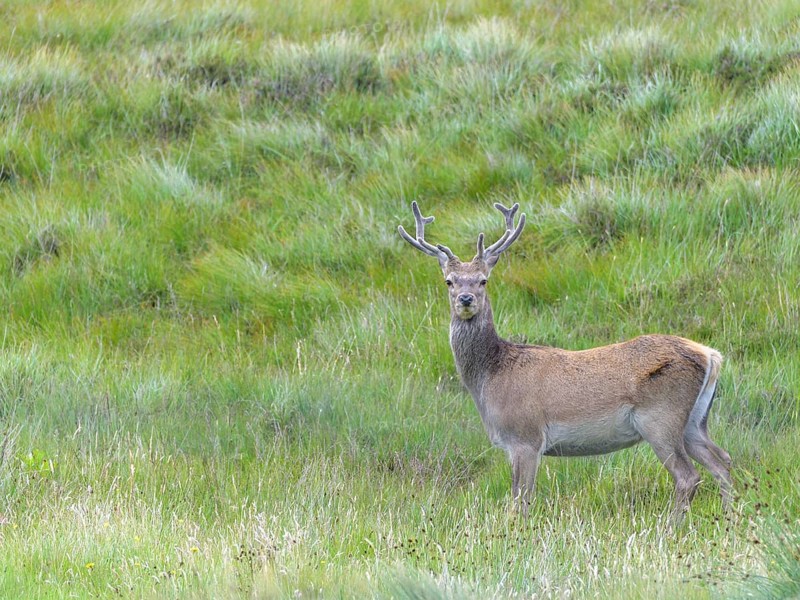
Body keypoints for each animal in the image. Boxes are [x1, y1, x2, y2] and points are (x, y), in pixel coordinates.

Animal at [398, 201, 732, 525]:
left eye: (483, 280)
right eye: (449, 281)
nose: (466, 299)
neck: (491, 377)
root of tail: (710, 355)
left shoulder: (526, 436)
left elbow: (520, 501)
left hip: (661, 417)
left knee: (689, 476)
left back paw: (671, 528)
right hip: (694, 421)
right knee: (723, 462)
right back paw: (729, 518)